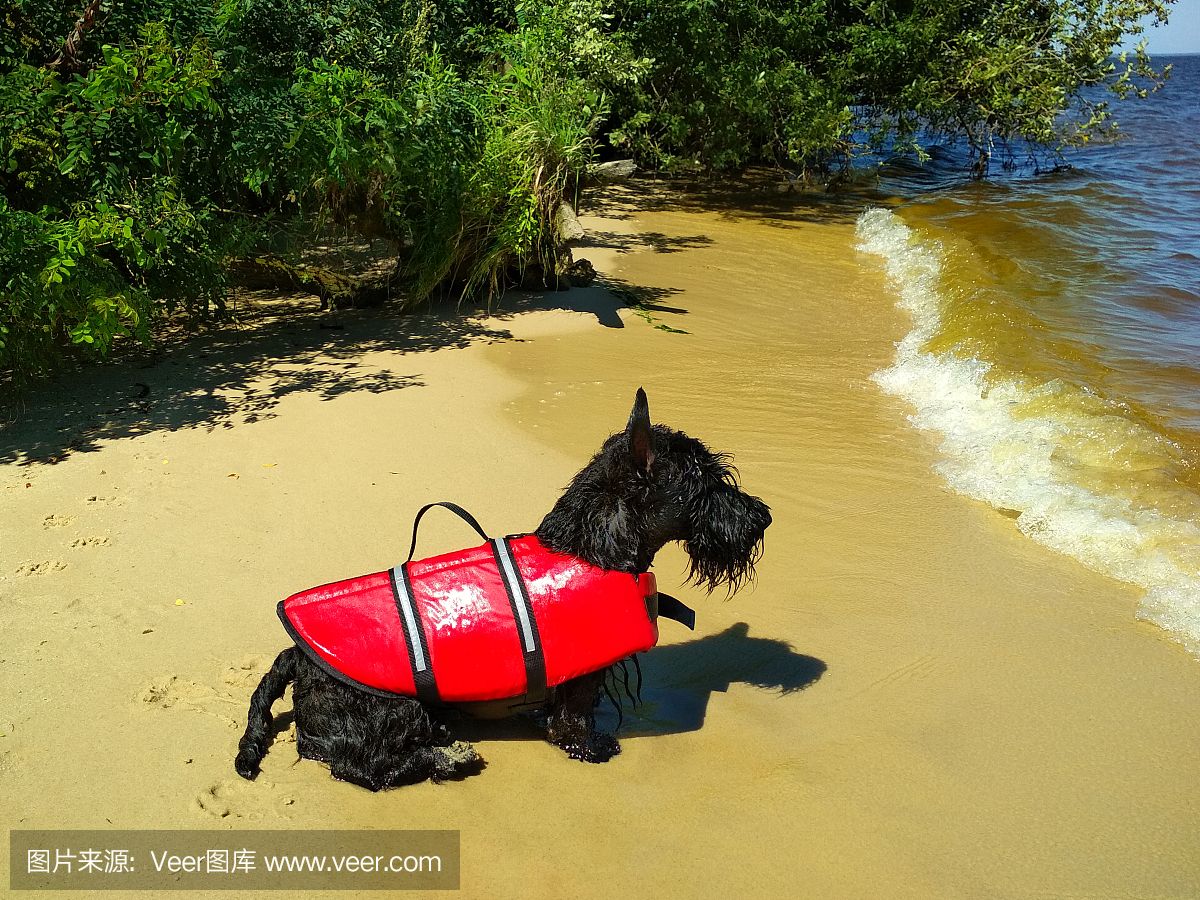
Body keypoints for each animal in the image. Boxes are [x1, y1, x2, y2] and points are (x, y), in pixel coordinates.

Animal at [236, 388, 768, 787]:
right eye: (704, 482)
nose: (763, 517)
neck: (590, 546)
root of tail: (295, 655)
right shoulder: (584, 678)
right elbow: (576, 718)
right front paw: (589, 748)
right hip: (396, 709)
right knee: (362, 765)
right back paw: (448, 758)